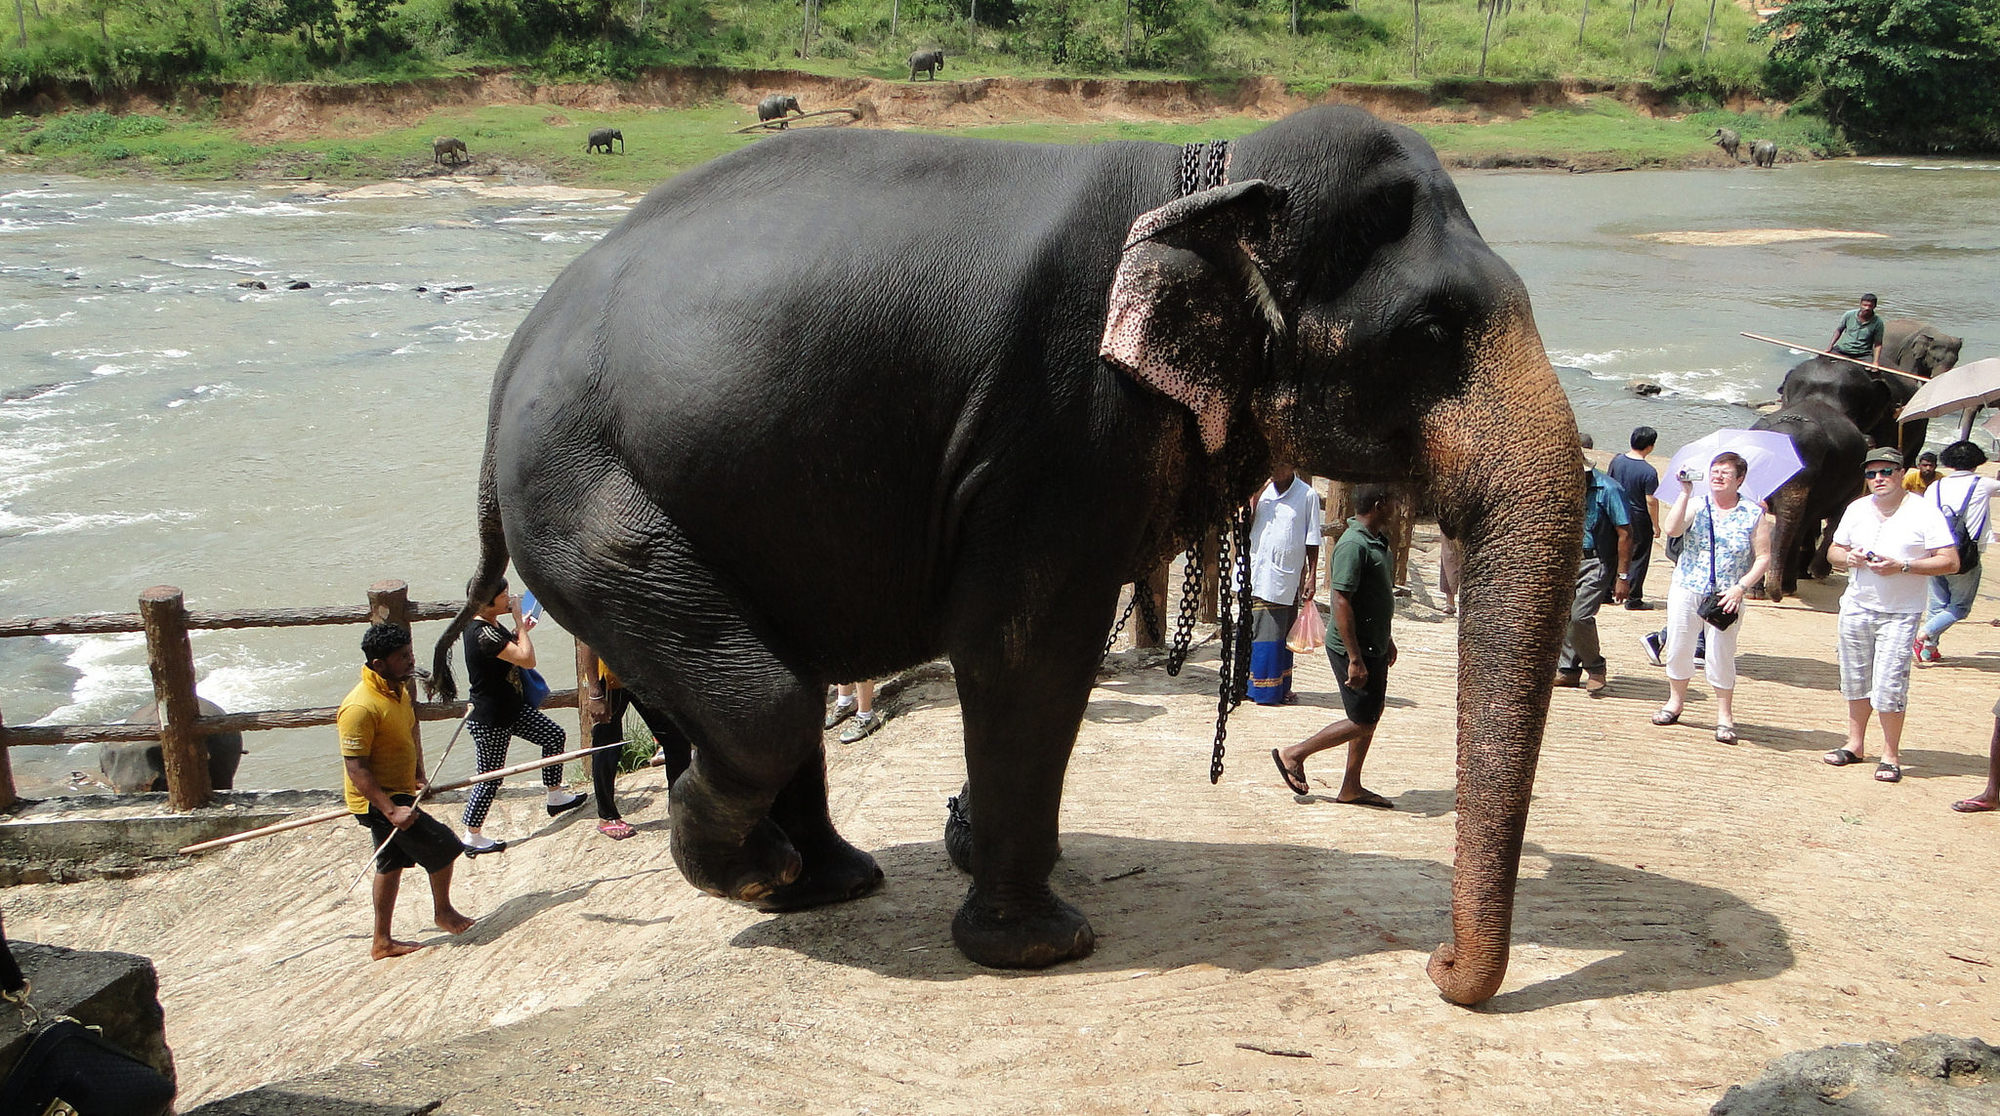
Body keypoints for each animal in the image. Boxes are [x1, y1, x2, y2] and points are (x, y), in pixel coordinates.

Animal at [434, 107, 1576, 1016]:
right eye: (1429, 330)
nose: (1436, 969)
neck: (1209, 171)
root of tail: (503, 376)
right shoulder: (1056, 424)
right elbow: (1026, 652)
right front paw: (1042, 948)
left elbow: (1035, 654)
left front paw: (973, 847)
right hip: (587, 495)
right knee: (763, 698)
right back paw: (756, 872)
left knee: (771, 681)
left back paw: (821, 879)